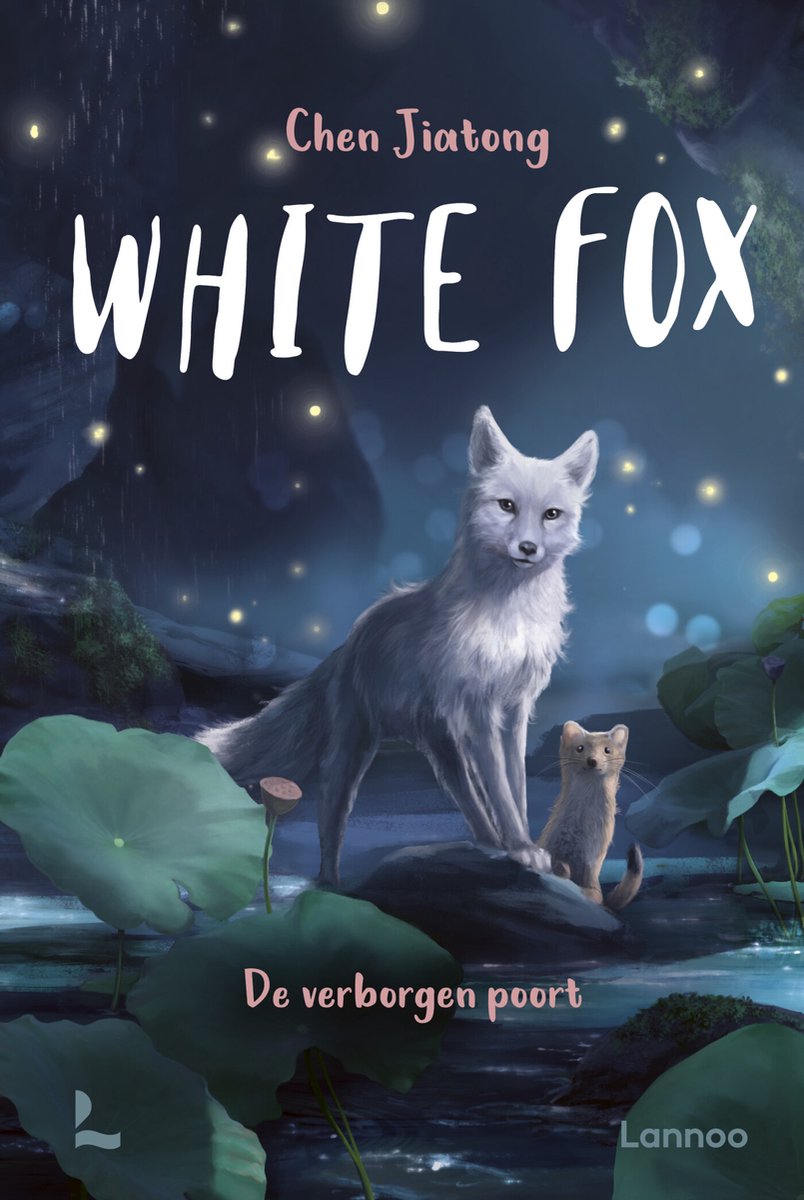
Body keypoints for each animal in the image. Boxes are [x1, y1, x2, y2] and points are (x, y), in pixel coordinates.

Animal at [199, 407, 599, 886]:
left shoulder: (514, 707)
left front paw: (527, 846)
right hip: (352, 754)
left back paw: (486, 844)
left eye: (551, 514)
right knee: (330, 823)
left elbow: (515, 789)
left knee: (464, 797)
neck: (510, 616)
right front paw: (521, 847)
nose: (527, 548)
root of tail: (350, 641)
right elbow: (502, 791)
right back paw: (332, 886)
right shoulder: (481, 708)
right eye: (507, 506)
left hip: (443, 747)